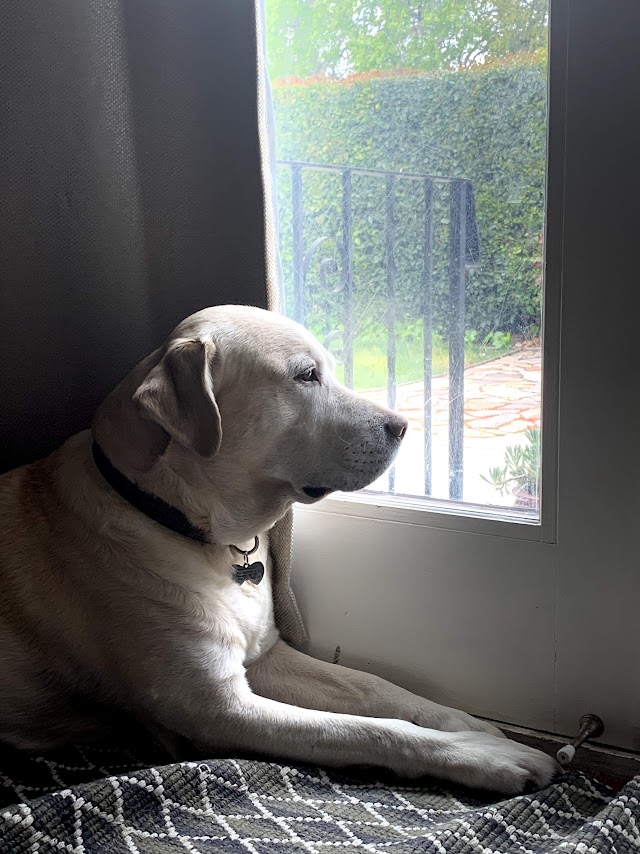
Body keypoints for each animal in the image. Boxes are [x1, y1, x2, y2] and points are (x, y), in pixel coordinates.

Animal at [0, 306, 556, 796]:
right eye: (306, 375)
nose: (401, 425)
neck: (179, 523)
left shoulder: (268, 657)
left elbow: (374, 688)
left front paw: (464, 723)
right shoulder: (217, 709)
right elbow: (364, 729)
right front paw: (483, 756)